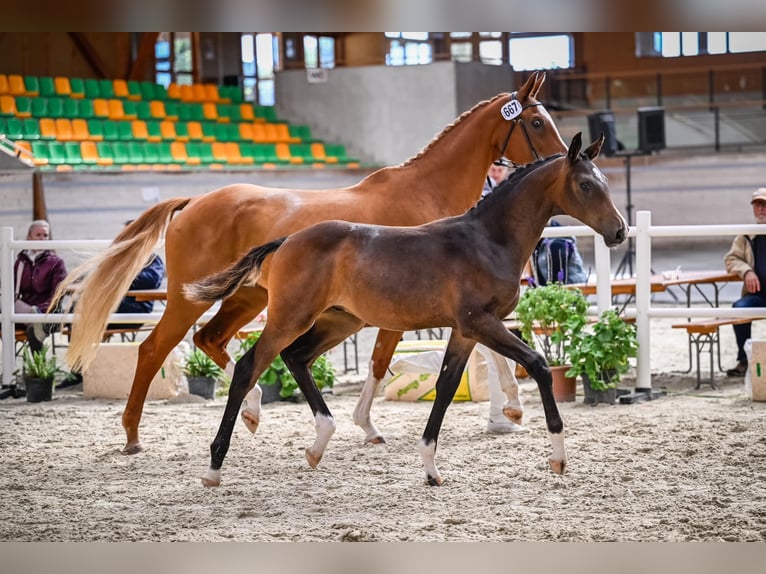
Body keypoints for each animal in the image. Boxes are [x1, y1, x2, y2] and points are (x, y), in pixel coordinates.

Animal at [52, 73, 568, 454]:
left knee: (212, 340)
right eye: (535, 122)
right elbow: (386, 361)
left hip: (246, 298)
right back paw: (133, 435)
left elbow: (465, 352)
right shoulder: (419, 309)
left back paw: (252, 410)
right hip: (190, 300)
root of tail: (192, 202)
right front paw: (369, 426)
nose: (566, 161)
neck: (425, 194)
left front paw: (510, 410)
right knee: (155, 349)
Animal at [188, 136, 632, 490]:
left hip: (339, 320)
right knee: (249, 367)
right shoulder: (480, 322)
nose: (619, 231)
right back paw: (214, 468)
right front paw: (557, 458)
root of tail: (285, 241)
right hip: (290, 318)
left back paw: (317, 445)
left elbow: (447, 388)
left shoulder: (466, 331)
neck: (487, 240)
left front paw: (431, 469)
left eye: (606, 183)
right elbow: (538, 365)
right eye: (586, 184)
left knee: (296, 357)